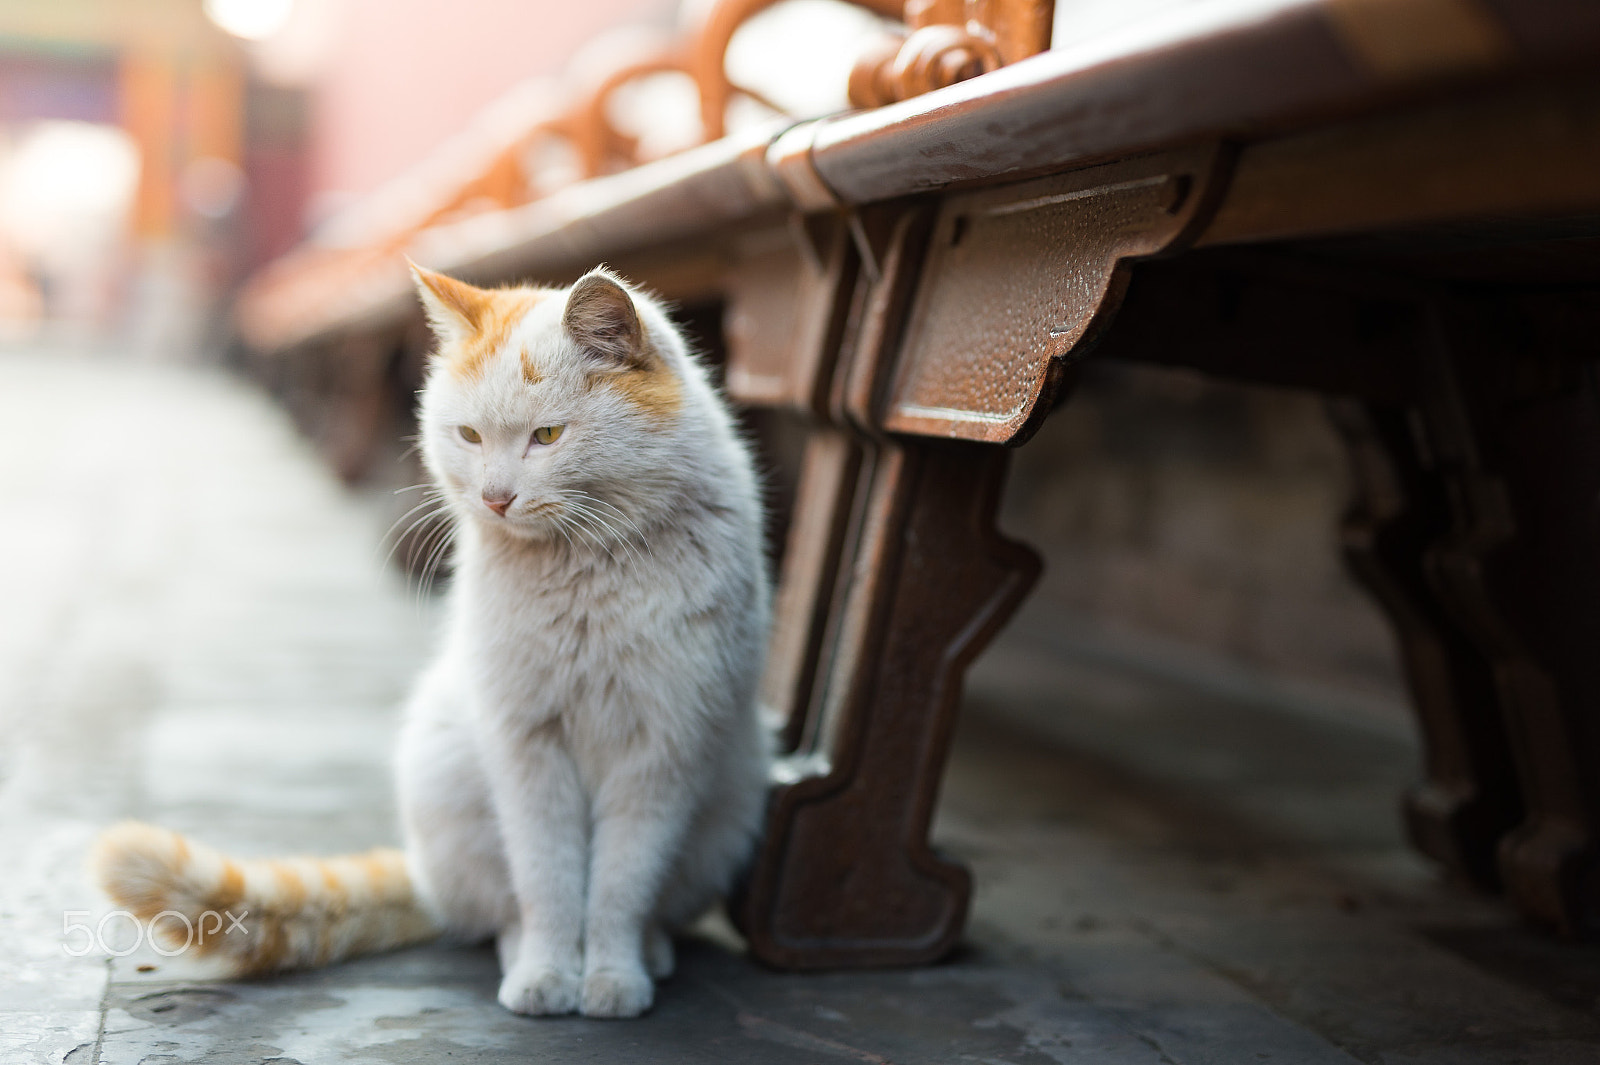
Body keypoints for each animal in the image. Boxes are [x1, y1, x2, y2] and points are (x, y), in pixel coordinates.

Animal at [95, 260, 774, 1017]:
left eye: (546, 436)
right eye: (470, 437)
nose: (496, 497)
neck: (582, 571)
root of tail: (423, 876)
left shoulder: (662, 752)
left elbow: (622, 886)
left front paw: (612, 976)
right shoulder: (526, 747)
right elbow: (549, 879)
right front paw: (547, 972)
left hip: (729, 805)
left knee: (653, 904)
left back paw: (651, 952)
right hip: (447, 770)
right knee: (496, 911)